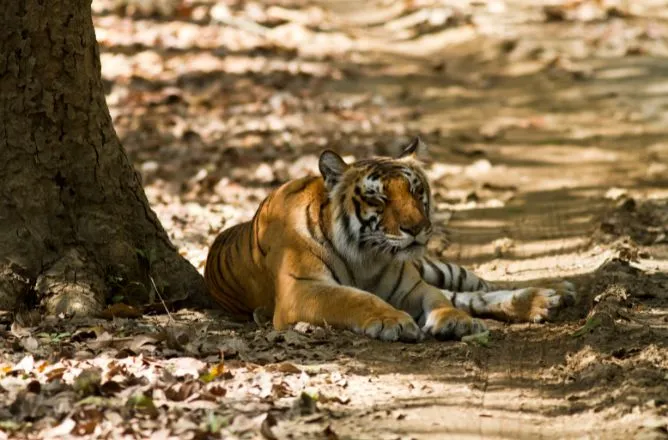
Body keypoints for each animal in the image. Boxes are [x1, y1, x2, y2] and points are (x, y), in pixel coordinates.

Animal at [205, 137, 576, 342]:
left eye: (416, 191)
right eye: (379, 199)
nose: (418, 227)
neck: (366, 256)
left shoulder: (411, 285)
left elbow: (439, 299)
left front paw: (454, 321)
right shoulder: (301, 289)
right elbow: (354, 298)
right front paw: (392, 321)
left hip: (433, 267)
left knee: (476, 286)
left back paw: (551, 293)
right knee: (469, 295)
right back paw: (545, 300)